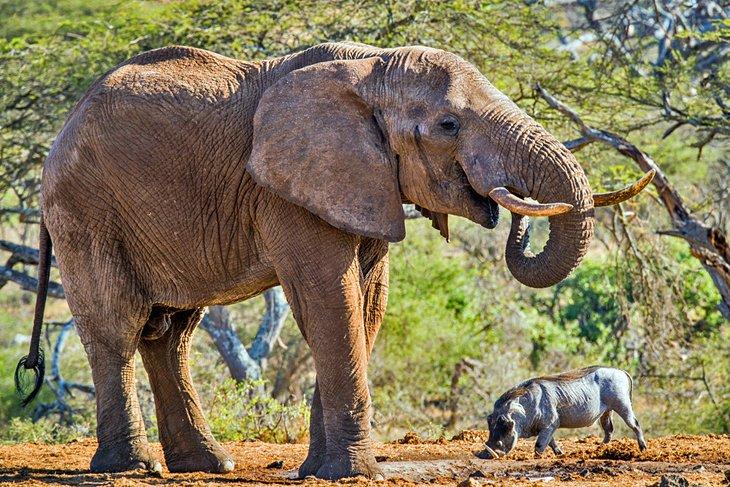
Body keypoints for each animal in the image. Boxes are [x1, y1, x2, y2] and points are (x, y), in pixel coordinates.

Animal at [15, 41, 652, 480]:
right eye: (449, 125)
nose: (510, 208)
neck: (371, 68)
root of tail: (57, 138)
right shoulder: (285, 190)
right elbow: (328, 298)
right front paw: (353, 474)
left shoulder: (365, 183)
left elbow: (365, 306)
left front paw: (316, 473)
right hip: (86, 209)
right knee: (117, 326)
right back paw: (131, 468)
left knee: (169, 332)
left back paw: (209, 465)